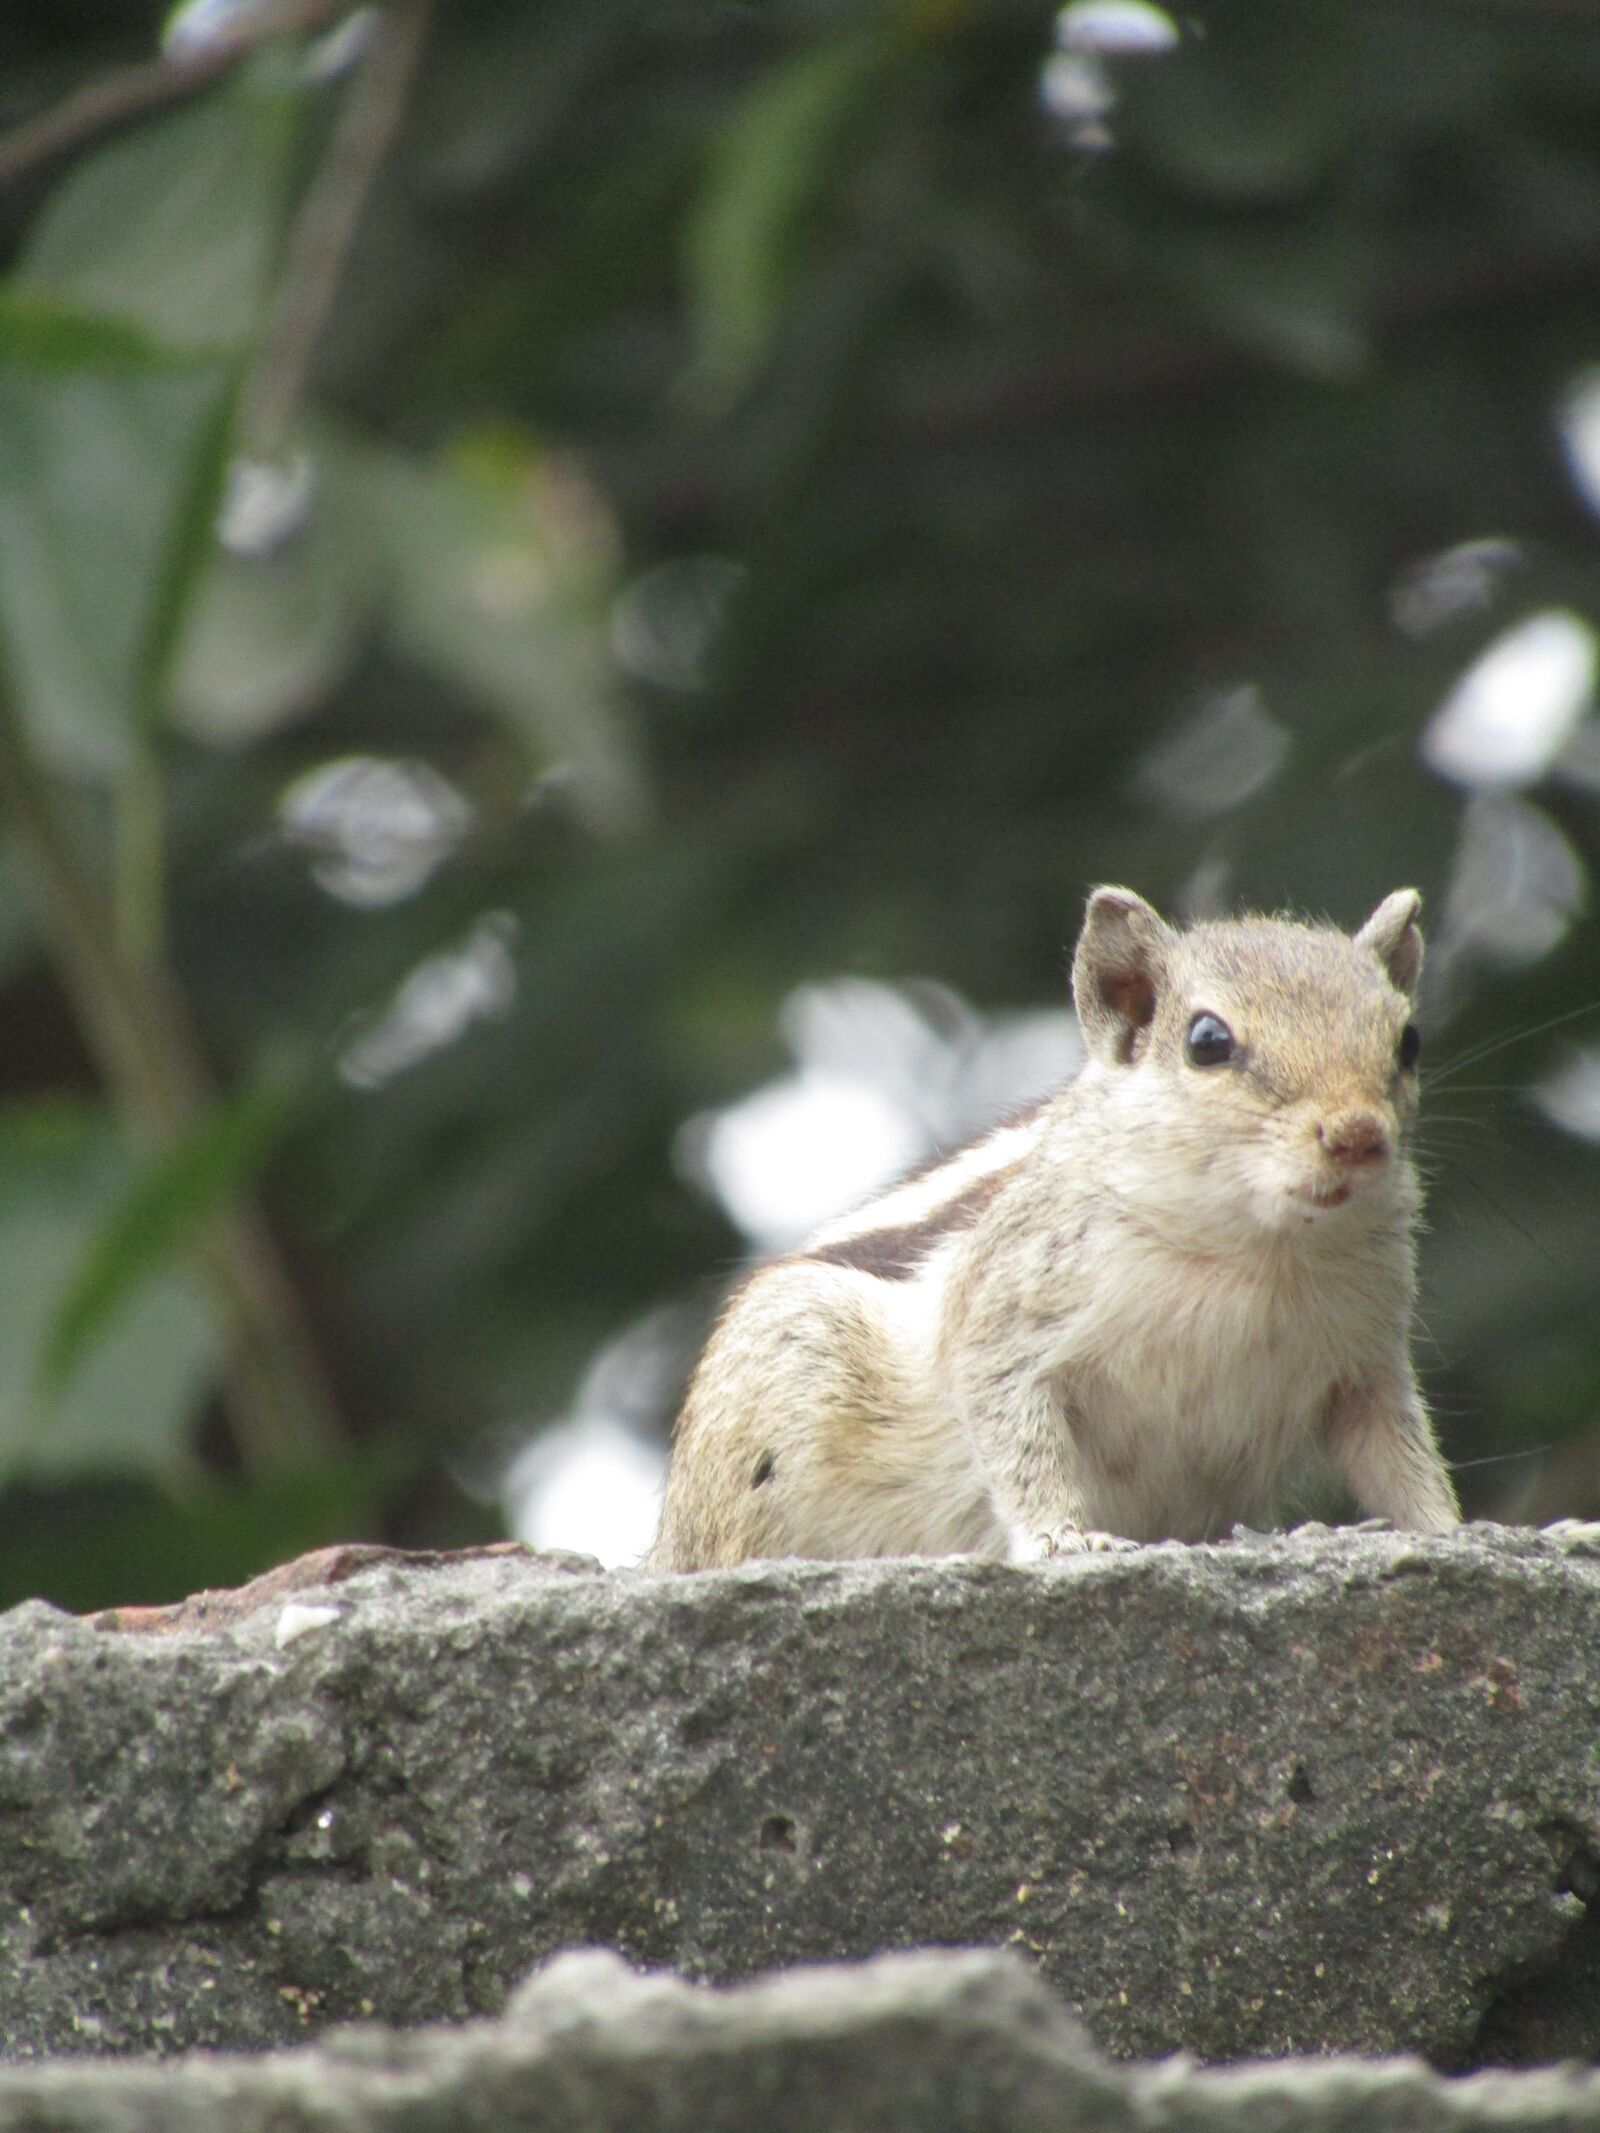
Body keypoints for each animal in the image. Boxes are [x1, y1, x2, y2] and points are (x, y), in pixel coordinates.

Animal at [652, 883, 1467, 1569]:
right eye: (1207, 1041)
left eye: (1408, 1041)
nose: (1358, 1134)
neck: (1257, 1252)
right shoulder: (1007, 1320)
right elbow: (1017, 1434)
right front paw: (1063, 1537)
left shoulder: (1368, 1358)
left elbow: (1398, 1450)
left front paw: (1447, 1528)